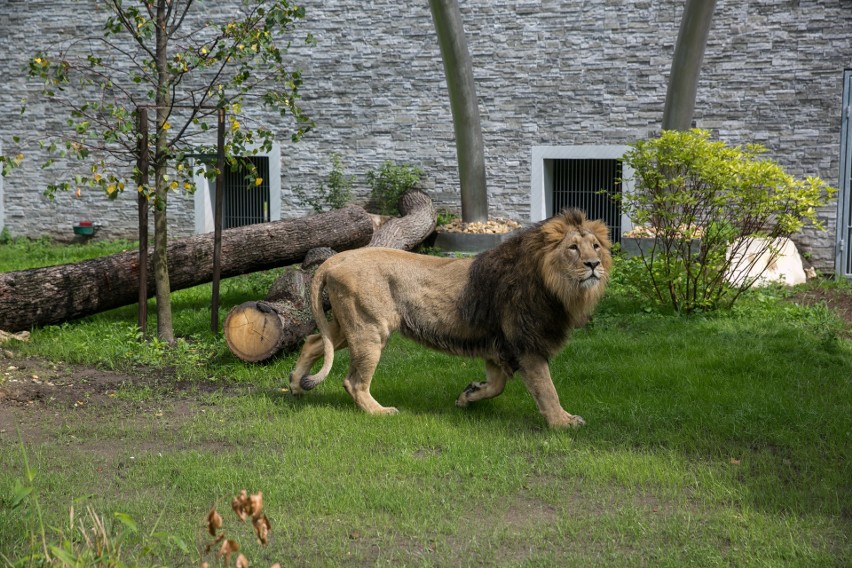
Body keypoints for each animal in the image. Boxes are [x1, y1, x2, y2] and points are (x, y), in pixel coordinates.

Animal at [292, 207, 612, 426]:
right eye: (573, 248)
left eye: (595, 246)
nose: (594, 264)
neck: (557, 287)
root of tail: (338, 257)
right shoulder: (526, 344)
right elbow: (547, 389)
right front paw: (563, 422)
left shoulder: (496, 345)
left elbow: (496, 386)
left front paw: (468, 394)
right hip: (369, 329)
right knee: (354, 381)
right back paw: (379, 412)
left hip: (351, 325)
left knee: (313, 342)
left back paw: (295, 385)